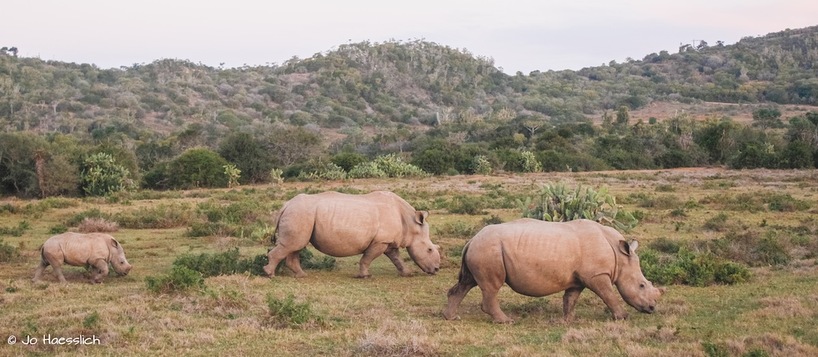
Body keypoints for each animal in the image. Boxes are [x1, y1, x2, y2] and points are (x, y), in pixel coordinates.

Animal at [262, 191, 440, 276]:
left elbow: (396, 258)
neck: (410, 223)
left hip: (300, 214)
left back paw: (301, 275)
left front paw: (407, 273)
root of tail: (286, 205)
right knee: (293, 245)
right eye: (429, 249)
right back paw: (269, 274)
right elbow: (367, 258)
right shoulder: (380, 241)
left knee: (296, 246)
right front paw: (364, 276)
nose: (437, 269)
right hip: (299, 213)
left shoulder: (388, 241)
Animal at [440, 218, 664, 322]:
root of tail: (471, 239)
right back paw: (506, 321)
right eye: (642, 285)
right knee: (491, 287)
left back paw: (451, 317)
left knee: (467, 282)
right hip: (489, 249)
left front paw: (567, 320)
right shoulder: (597, 275)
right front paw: (622, 317)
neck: (620, 257)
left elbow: (570, 299)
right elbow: (609, 295)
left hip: (482, 249)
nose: (652, 308)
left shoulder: (579, 278)